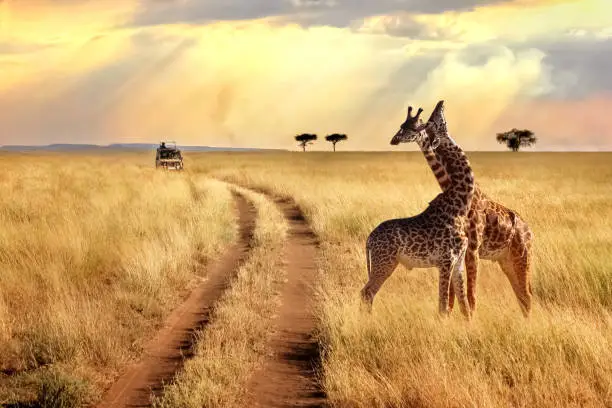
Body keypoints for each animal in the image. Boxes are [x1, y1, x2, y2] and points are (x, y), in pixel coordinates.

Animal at [360, 100, 476, 320]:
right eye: (436, 122)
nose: (441, 103)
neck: (460, 205)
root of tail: (369, 239)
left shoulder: (458, 261)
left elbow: (464, 305)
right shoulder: (446, 260)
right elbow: (443, 306)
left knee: (367, 292)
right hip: (385, 262)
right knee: (367, 292)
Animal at [412, 101, 536, 316]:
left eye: (436, 121)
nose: (440, 103)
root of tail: (529, 230)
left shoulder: (472, 248)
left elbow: (470, 294)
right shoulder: (461, 249)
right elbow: (455, 294)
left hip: (522, 256)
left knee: (526, 296)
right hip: (506, 261)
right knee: (521, 295)